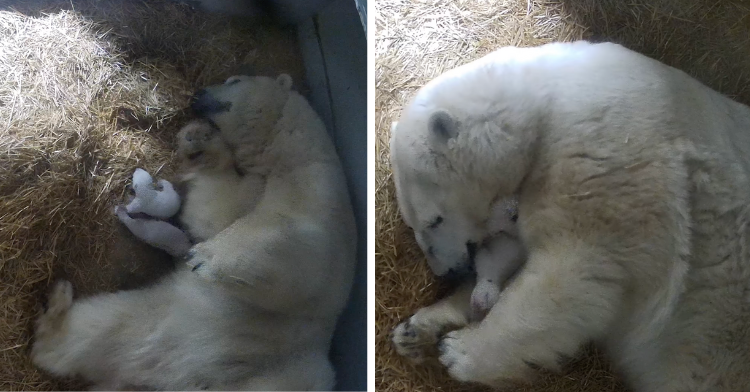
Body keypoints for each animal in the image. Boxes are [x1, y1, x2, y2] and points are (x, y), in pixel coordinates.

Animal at [30, 72, 356, 388]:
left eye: (234, 80)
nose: (199, 94)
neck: (289, 151)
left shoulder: (317, 196)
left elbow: (285, 240)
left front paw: (204, 257)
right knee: (94, 332)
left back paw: (59, 297)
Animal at [390, 40, 750, 392]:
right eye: (413, 224)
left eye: (434, 220)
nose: (447, 272)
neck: (546, 103)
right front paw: (416, 329)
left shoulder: (608, 165)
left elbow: (570, 273)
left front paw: (460, 350)